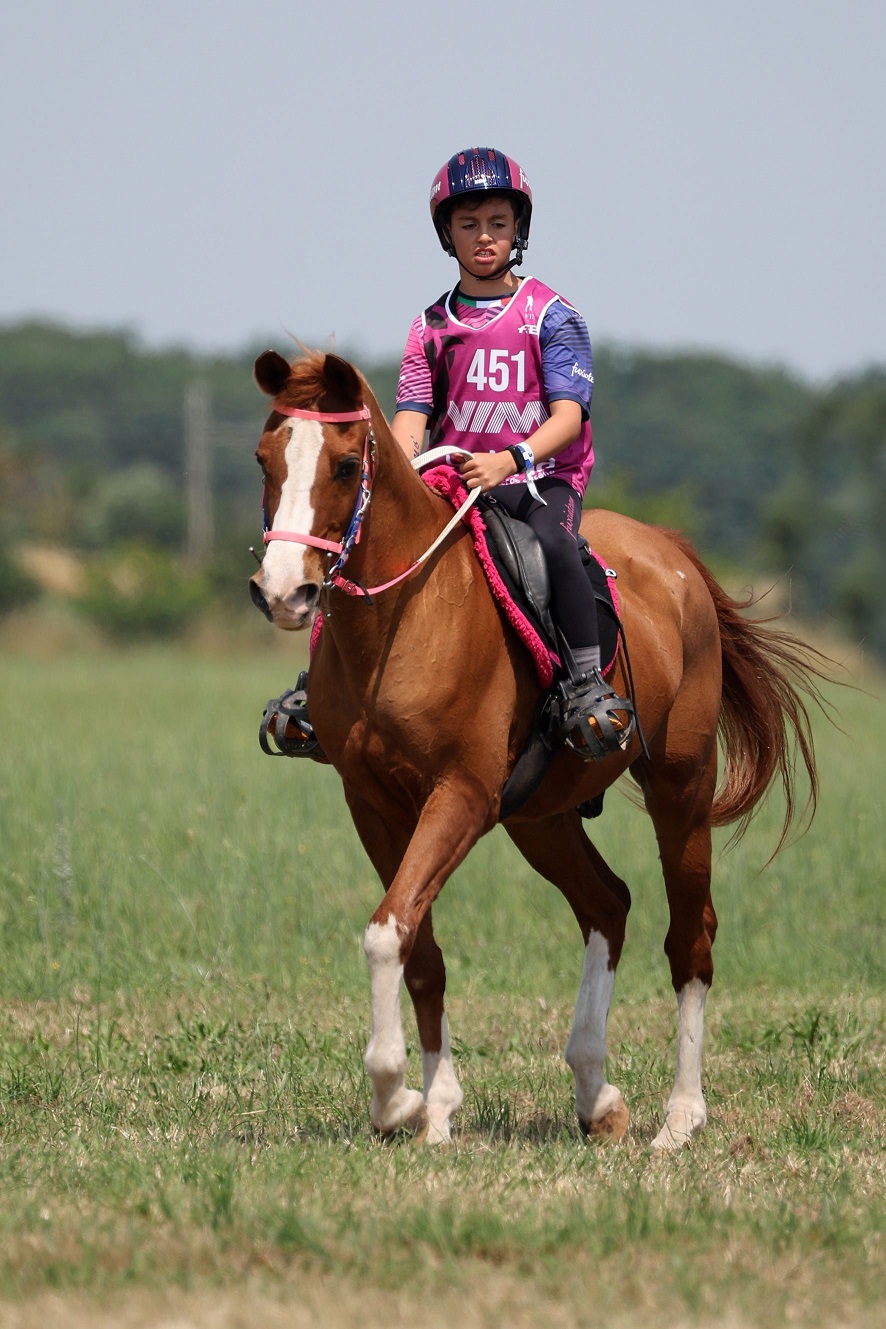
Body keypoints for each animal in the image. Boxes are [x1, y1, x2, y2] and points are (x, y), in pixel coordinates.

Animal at [248, 346, 825, 1150]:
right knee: (607, 902)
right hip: (540, 818)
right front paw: (435, 1108)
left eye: (342, 465)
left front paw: (397, 1097)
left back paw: (680, 1116)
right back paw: (596, 1093)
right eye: (264, 459)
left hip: (681, 788)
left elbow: (387, 933)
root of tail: (669, 552)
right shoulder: (374, 805)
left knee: (691, 939)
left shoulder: (459, 795)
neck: (403, 621)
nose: (281, 592)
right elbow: (414, 945)